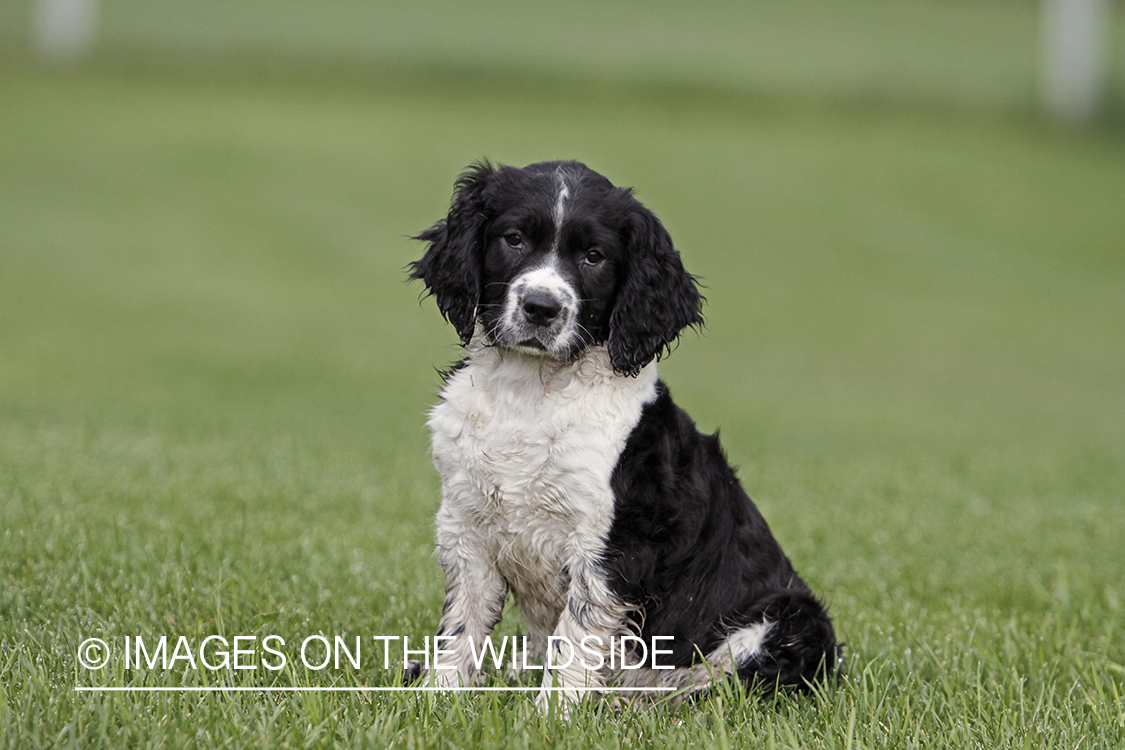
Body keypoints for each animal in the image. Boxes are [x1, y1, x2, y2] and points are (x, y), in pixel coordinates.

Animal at [409, 159, 841, 710]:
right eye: (513, 239)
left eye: (594, 257)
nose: (541, 308)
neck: (530, 393)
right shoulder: (468, 524)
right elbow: (462, 623)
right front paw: (439, 697)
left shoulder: (614, 543)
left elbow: (578, 631)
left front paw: (553, 713)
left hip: (789, 619)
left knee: (713, 687)